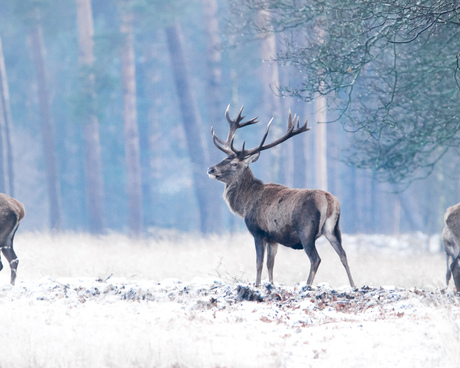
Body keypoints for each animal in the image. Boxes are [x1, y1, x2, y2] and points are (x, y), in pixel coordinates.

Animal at [208, 105, 356, 288]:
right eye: (224, 158)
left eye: (234, 163)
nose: (211, 169)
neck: (245, 204)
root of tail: (329, 200)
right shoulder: (273, 237)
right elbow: (271, 264)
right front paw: (270, 284)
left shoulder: (259, 231)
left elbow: (259, 263)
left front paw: (257, 285)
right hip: (334, 229)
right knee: (343, 255)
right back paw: (353, 286)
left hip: (306, 230)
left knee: (315, 259)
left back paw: (307, 285)